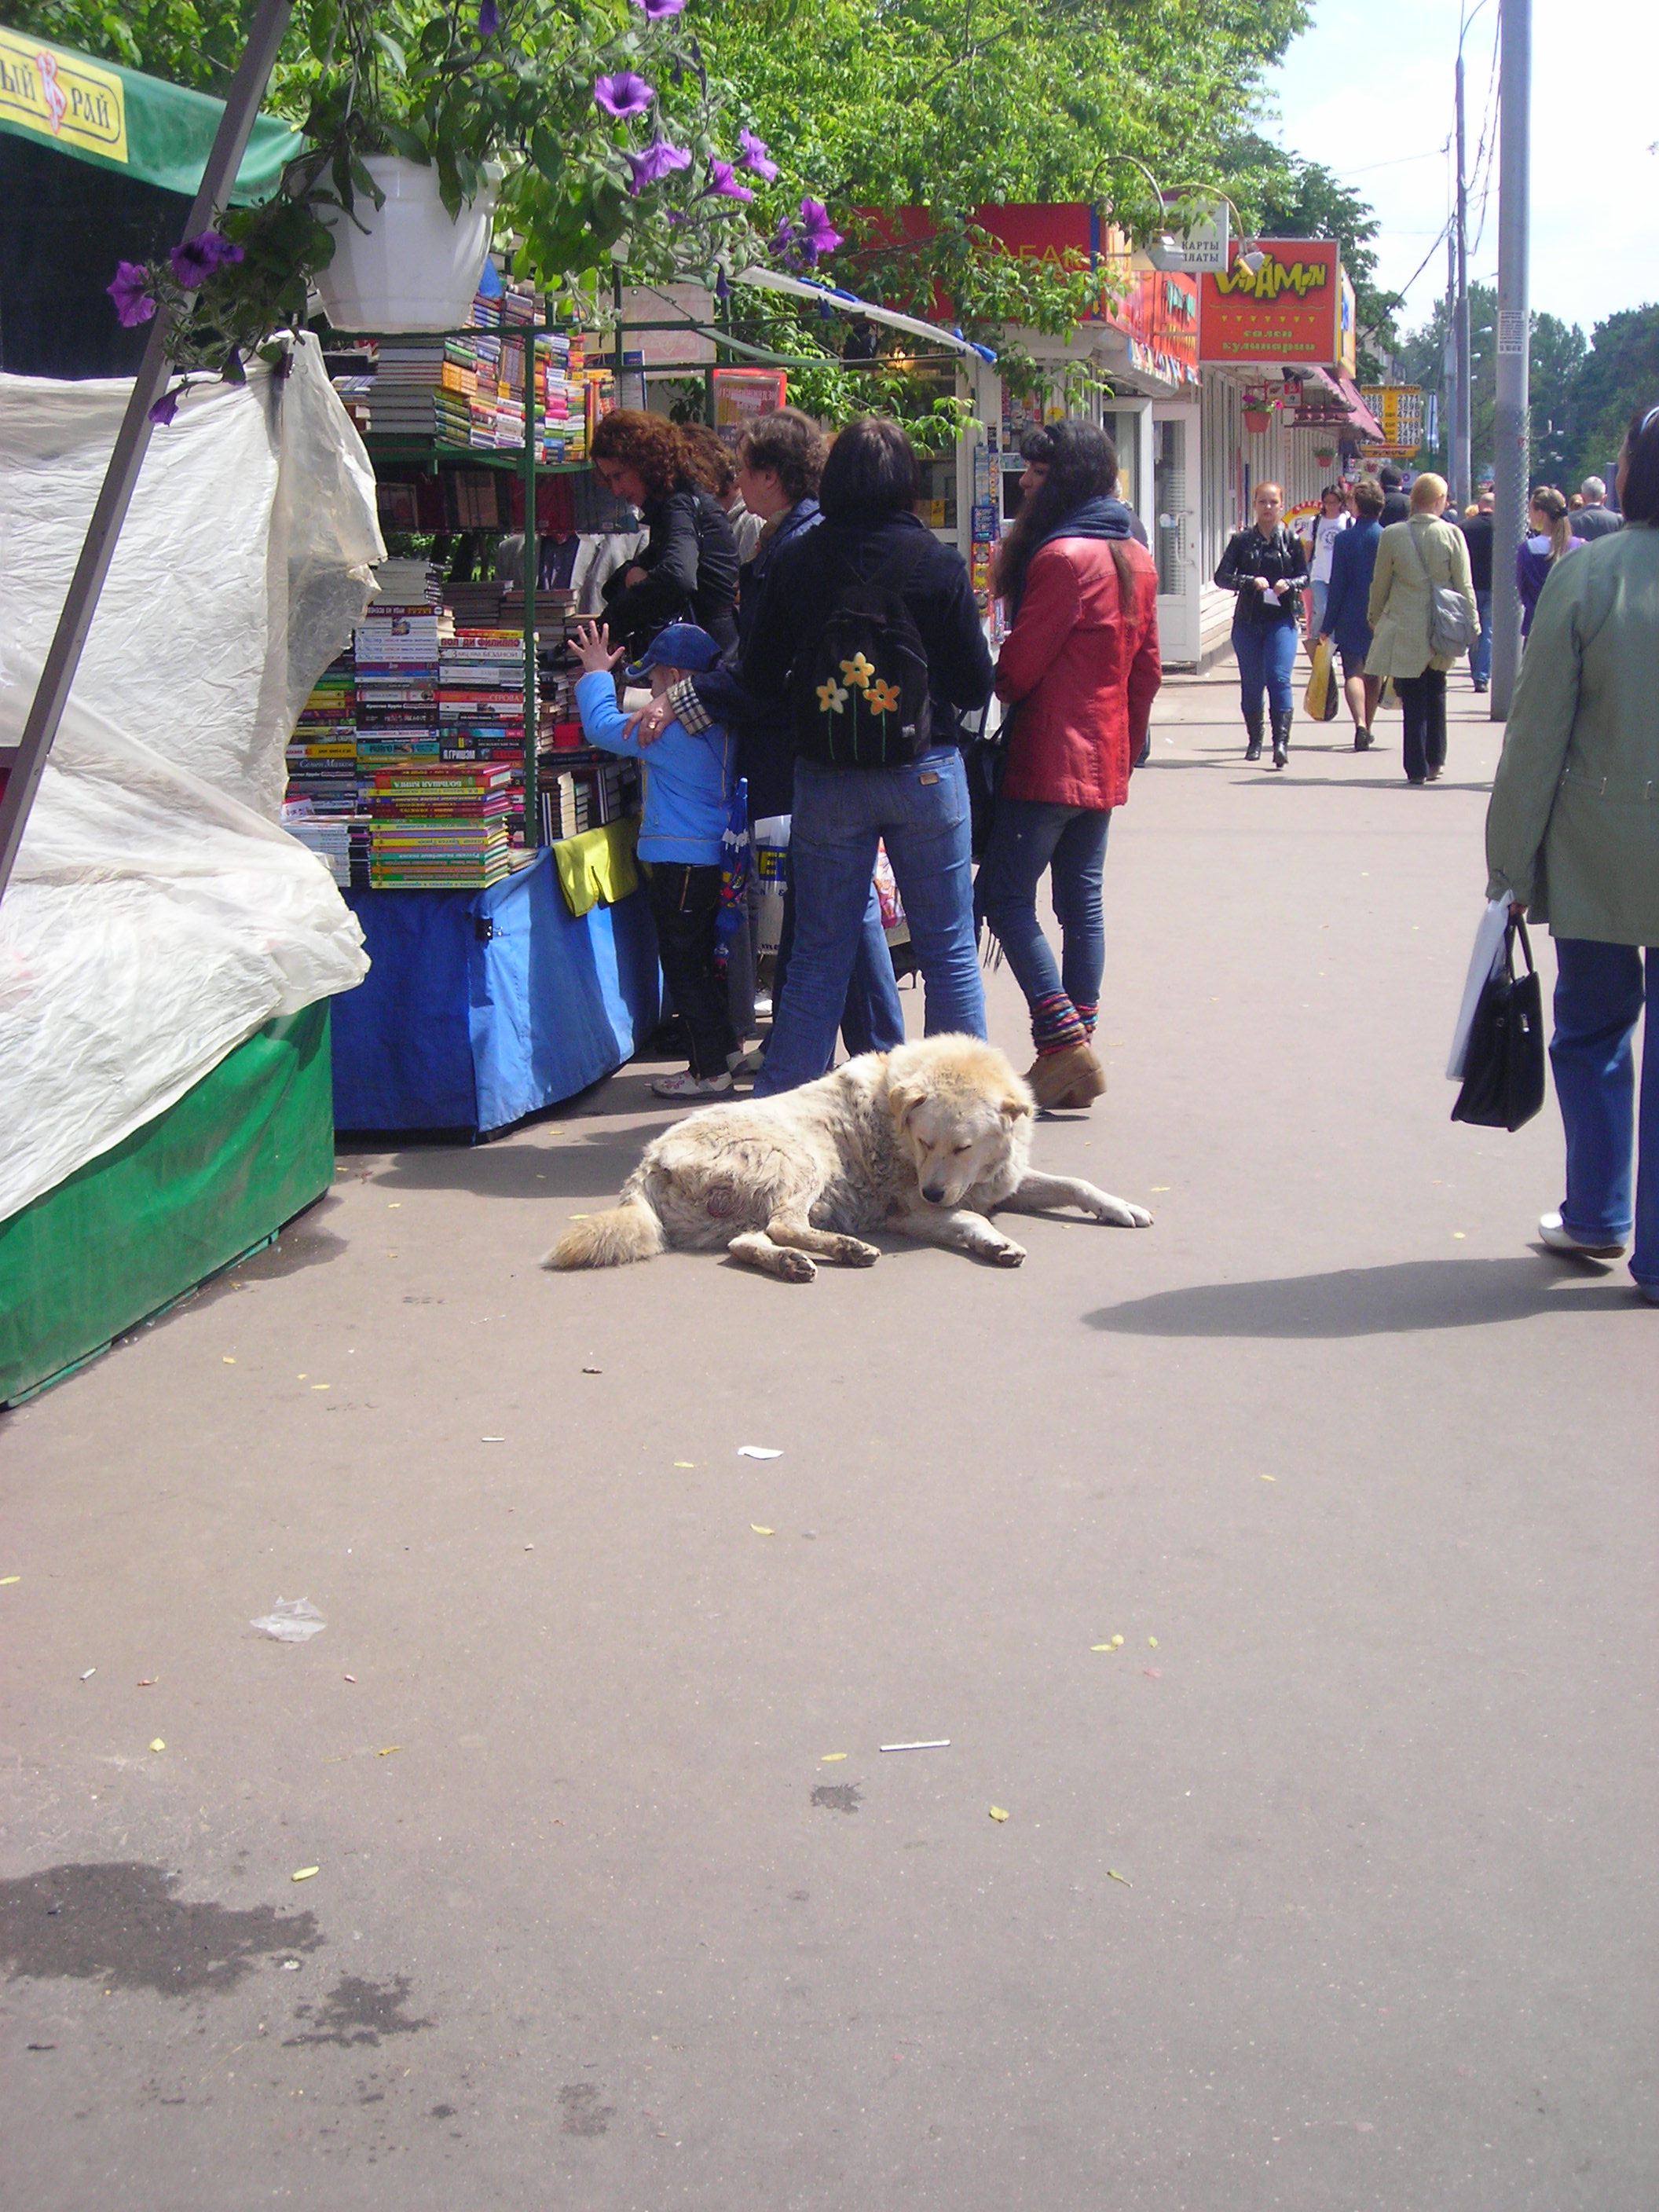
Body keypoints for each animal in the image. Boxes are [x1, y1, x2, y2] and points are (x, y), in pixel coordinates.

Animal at [546, 1031, 1159, 1283]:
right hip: (797, 1158)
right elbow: (969, 1217)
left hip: (741, 1210)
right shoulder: (912, 1212)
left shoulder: (997, 1181)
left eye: (962, 1146)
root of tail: (649, 1161)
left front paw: (1120, 1207)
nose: (934, 1188)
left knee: (750, 1241)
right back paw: (845, 1247)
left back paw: (796, 1263)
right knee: (784, 1224)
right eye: (925, 1142)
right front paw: (996, 1241)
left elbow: (1074, 1183)